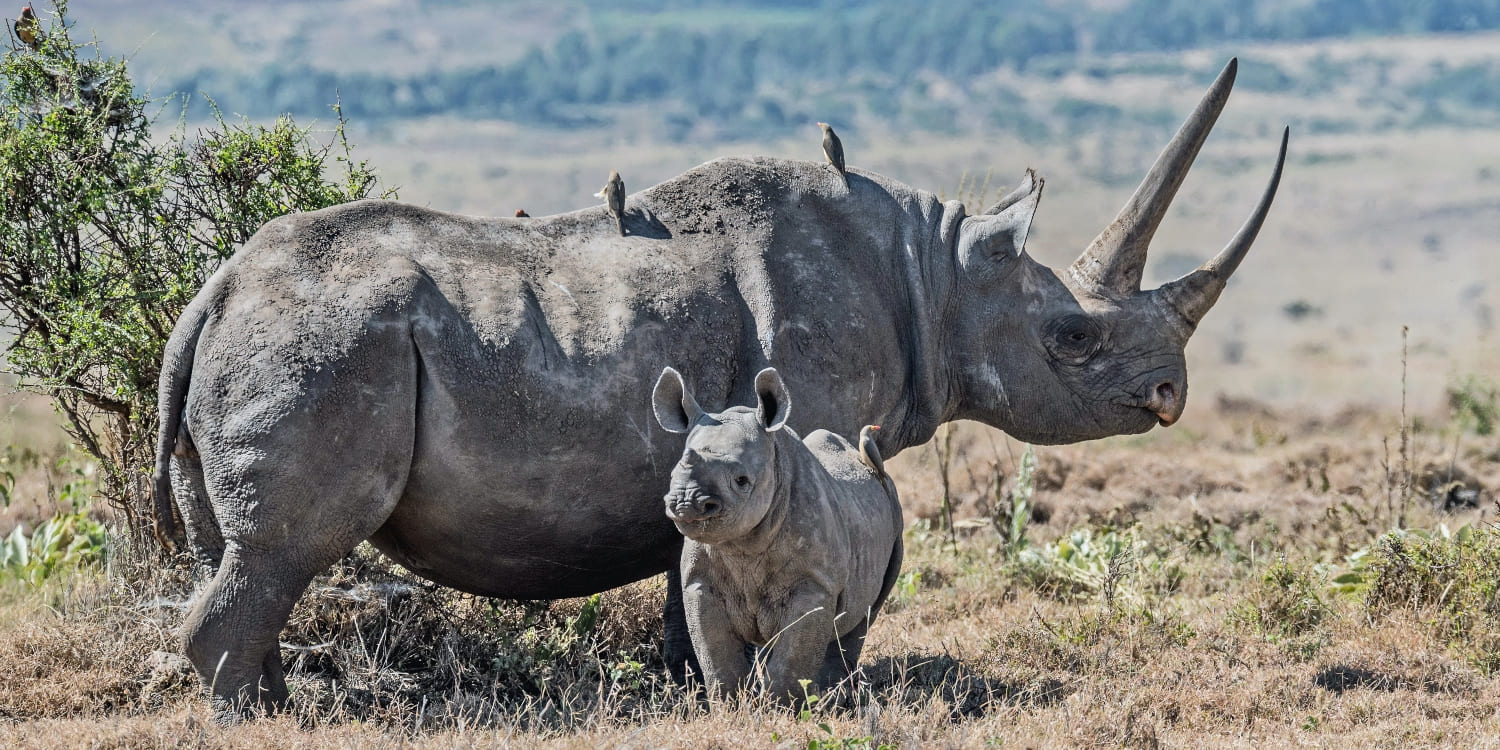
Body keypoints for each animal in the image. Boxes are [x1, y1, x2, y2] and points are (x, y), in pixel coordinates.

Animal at [654, 366, 900, 699]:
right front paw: (730, 705)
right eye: (671, 475)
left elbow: (791, 660)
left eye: (741, 480)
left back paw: (832, 697)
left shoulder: (814, 584)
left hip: (894, 514)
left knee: (862, 618)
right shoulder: (700, 582)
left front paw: (780, 707)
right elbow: (716, 657)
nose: (686, 503)